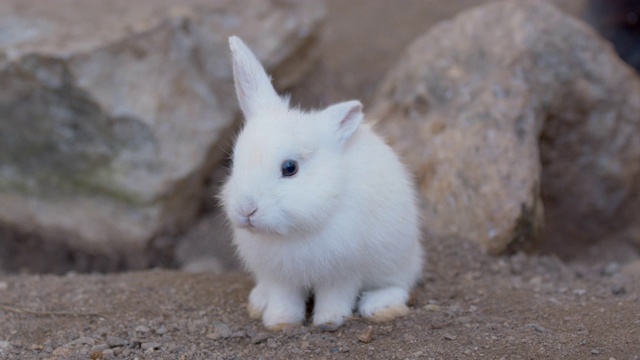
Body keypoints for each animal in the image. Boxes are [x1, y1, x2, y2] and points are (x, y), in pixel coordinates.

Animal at [221, 35, 424, 330]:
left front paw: (329, 321)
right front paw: (280, 323)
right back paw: (258, 301)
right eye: (235, 161)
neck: (293, 231)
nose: (246, 209)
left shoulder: (342, 272)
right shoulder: (281, 276)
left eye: (290, 168)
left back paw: (378, 306)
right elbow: (284, 299)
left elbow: (335, 297)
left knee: (400, 285)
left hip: (396, 259)